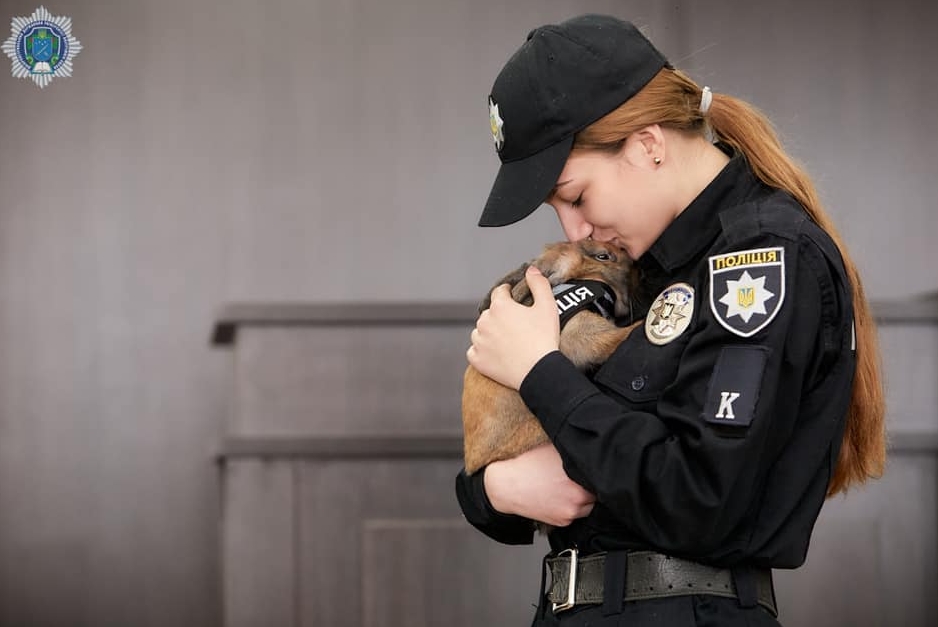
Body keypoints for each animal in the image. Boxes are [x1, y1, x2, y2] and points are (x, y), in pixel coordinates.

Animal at [461, 239, 641, 475]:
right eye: (603, 256)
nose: (633, 260)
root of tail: (474, 464)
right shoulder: (582, 333)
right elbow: (615, 337)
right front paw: (643, 325)